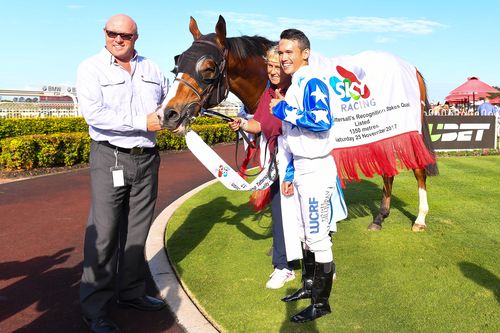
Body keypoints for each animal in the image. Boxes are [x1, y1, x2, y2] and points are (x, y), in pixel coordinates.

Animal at [160, 14, 438, 230]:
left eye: (208, 67)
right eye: (177, 62)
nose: (168, 113)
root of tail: (411, 67)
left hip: (408, 128)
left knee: (418, 169)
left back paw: (420, 218)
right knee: (388, 169)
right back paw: (380, 216)